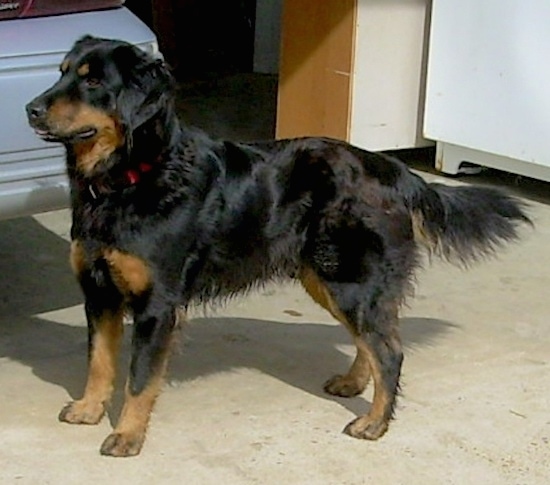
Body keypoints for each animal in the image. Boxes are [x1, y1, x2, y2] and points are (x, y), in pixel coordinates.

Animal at [27, 36, 536, 456]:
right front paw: (89, 410)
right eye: (62, 71)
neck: (135, 177)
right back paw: (353, 384)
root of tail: (393, 169)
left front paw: (127, 436)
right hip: (327, 278)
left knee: (389, 350)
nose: (31, 108)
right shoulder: (99, 292)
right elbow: (99, 362)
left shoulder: (158, 305)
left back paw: (374, 423)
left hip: (349, 279)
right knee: (370, 341)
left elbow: (139, 378)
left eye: (93, 82)